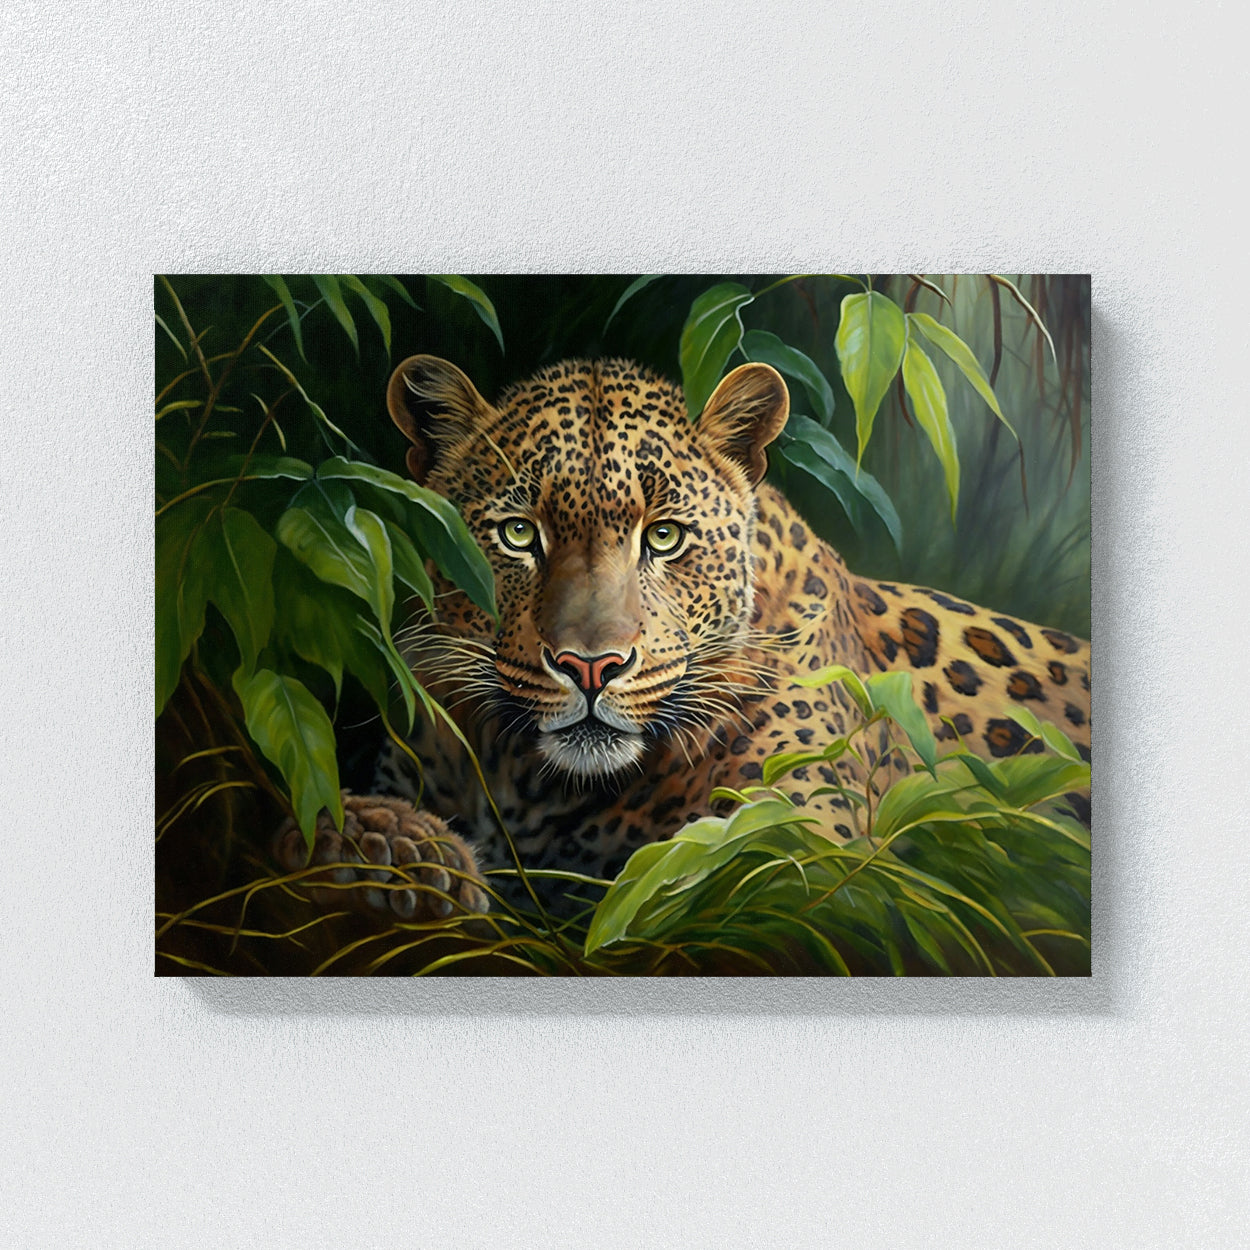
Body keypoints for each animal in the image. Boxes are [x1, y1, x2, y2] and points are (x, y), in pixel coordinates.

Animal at [275, 353, 1091, 919]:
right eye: (518, 534)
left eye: (664, 537)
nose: (592, 667)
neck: (535, 788)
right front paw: (393, 846)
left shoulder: (810, 847)